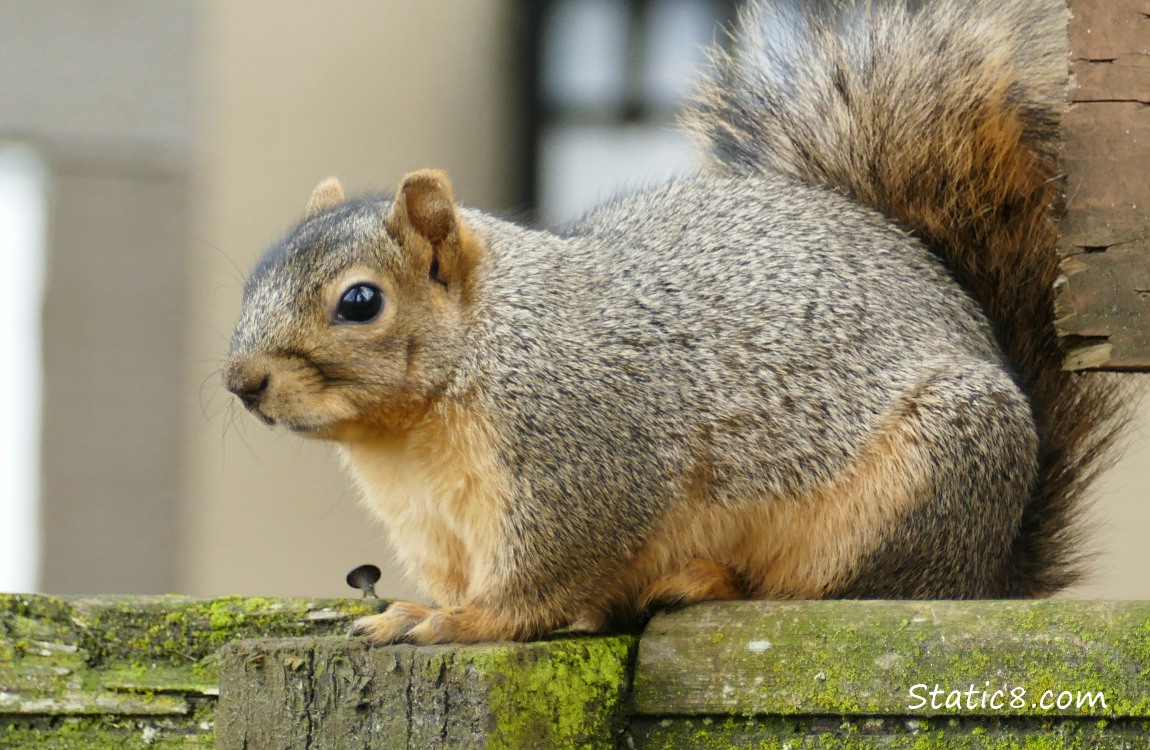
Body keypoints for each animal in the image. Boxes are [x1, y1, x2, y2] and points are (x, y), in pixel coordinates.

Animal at [226, 0, 1131, 644]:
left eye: (360, 302)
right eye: (251, 282)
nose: (241, 382)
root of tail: (994, 567)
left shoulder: (583, 462)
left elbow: (536, 583)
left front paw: (460, 622)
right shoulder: (438, 528)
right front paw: (418, 609)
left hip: (920, 485)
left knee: (838, 590)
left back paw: (706, 579)